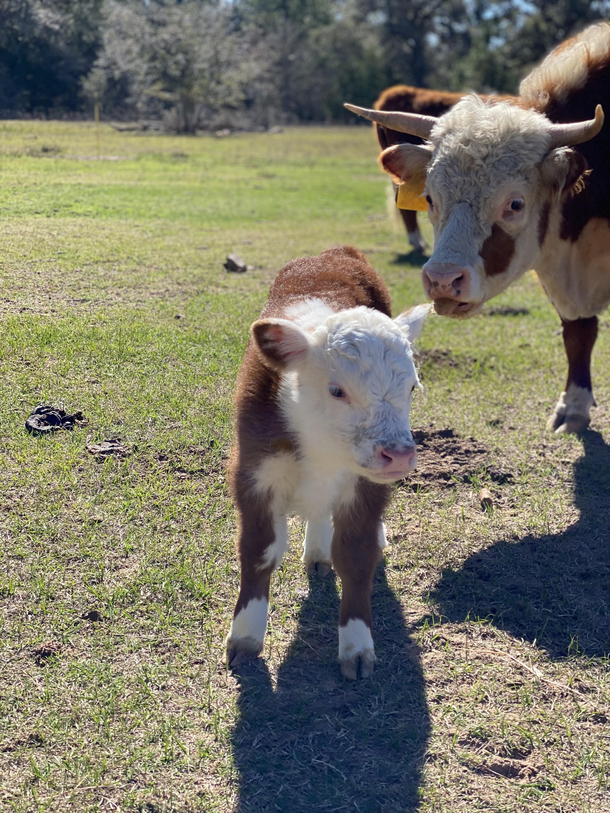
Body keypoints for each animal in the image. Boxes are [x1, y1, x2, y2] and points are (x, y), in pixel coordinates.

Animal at [224, 246, 428, 680]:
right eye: (337, 390)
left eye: (412, 387)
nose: (400, 455)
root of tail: (336, 252)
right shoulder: (255, 473)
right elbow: (259, 551)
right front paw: (246, 636)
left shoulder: (365, 484)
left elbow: (356, 555)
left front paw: (357, 645)